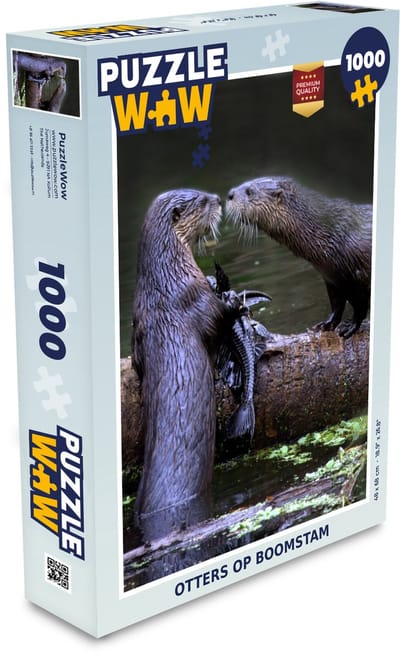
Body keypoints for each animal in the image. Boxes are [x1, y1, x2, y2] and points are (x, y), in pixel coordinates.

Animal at [226, 177, 372, 338]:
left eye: (249, 191)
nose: (230, 194)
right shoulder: (331, 278)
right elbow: (337, 305)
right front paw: (326, 324)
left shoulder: (357, 275)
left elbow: (360, 307)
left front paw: (350, 327)